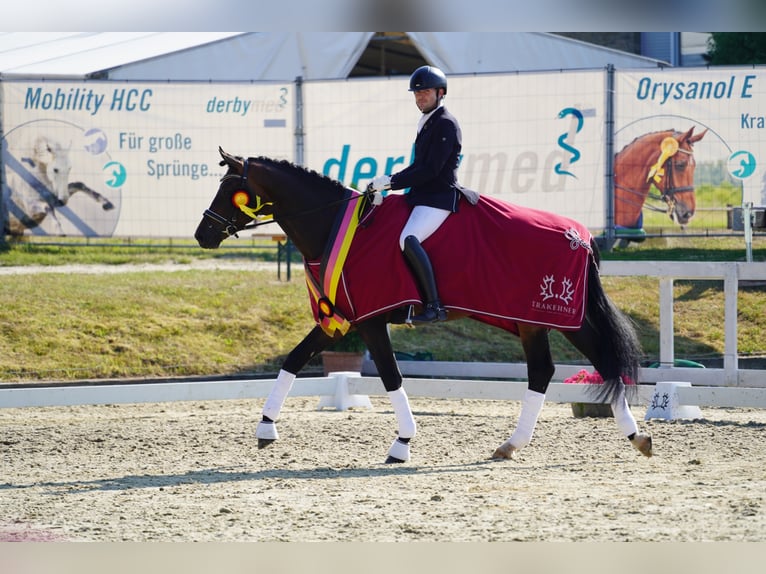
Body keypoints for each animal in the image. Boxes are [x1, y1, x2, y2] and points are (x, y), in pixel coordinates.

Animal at [196, 147, 656, 464]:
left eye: (230, 190)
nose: (202, 235)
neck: (332, 225)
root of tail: (581, 235)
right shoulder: (342, 318)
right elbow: (293, 359)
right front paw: (265, 428)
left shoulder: (370, 321)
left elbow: (391, 376)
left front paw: (402, 443)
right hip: (540, 321)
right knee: (558, 369)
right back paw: (530, 444)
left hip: (551, 317)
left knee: (588, 363)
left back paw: (624, 437)